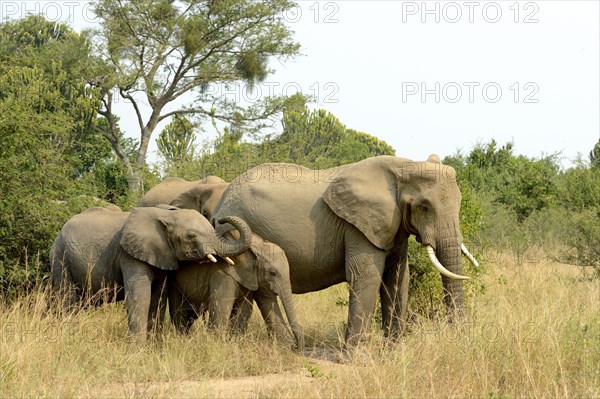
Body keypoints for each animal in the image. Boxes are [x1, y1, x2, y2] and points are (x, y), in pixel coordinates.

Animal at [48, 206, 251, 340]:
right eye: (192, 236)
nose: (221, 219)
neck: (166, 215)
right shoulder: (129, 254)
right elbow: (141, 298)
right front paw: (138, 349)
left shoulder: (160, 255)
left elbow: (157, 300)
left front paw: (154, 345)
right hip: (61, 258)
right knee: (67, 300)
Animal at [169, 234, 302, 350]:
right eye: (272, 273)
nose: (297, 346)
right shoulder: (224, 275)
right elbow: (222, 307)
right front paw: (218, 345)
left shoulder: (251, 279)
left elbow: (247, 309)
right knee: (179, 312)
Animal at [211, 155, 478, 346]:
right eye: (424, 207)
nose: (460, 340)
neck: (404, 165)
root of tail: (220, 205)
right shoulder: (357, 226)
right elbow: (367, 276)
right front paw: (356, 356)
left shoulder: (392, 225)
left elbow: (397, 279)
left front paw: (393, 350)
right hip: (239, 229)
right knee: (260, 290)